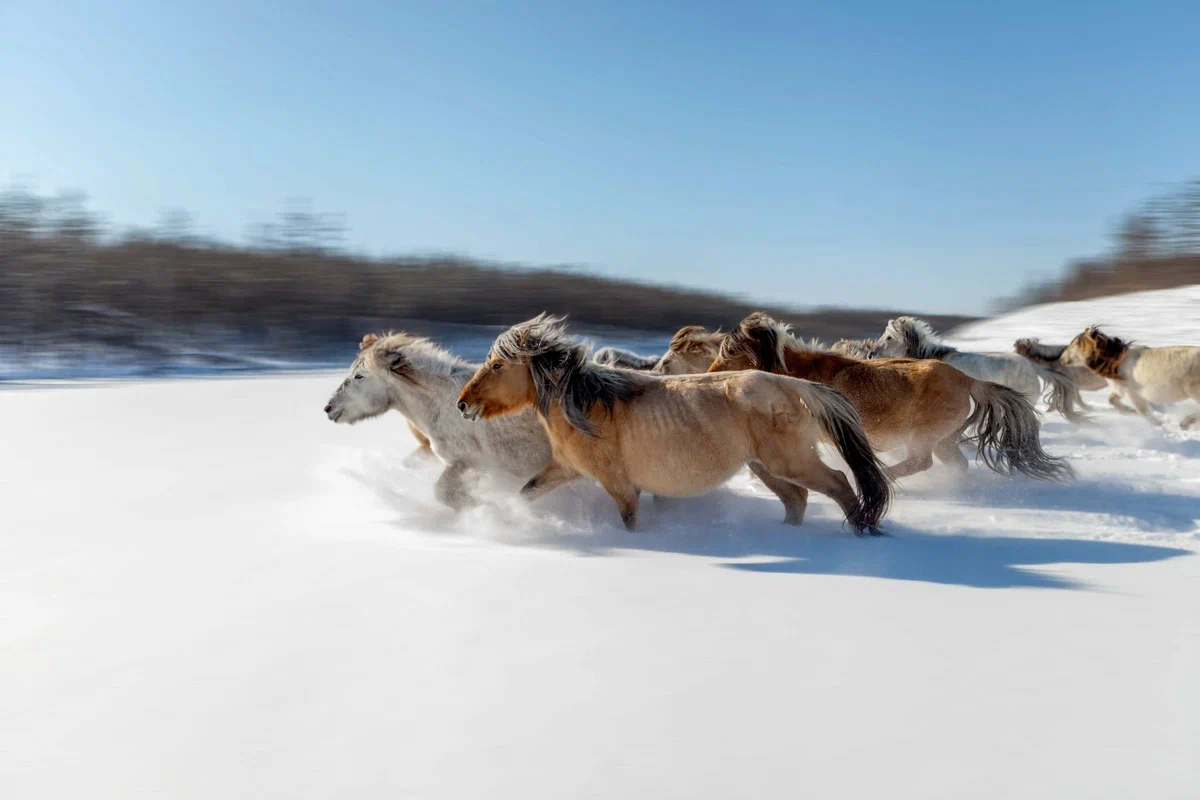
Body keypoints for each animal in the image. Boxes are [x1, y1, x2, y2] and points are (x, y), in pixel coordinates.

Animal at [326, 331, 554, 506]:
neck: (440, 403)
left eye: (359, 376)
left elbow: (442, 493)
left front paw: (481, 505)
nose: (329, 408)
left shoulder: (471, 462)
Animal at [456, 316, 892, 534]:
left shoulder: (618, 482)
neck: (588, 405)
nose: (463, 405)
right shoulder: (563, 469)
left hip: (790, 461)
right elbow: (526, 492)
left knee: (839, 483)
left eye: (497, 366)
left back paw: (863, 531)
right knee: (796, 500)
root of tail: (792, 383)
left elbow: (631, 521)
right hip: (764, 467)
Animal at [1065, 326, 1200, 429]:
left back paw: (1185, 423)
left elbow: (1143, 411)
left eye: (1075, 343)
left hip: (1195, 392)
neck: (1115, 361)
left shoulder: (1133, 393)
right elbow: (1112, 399)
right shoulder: (1121, 389)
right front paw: (1128, 411)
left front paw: (1158, 424)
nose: (1062, 358)